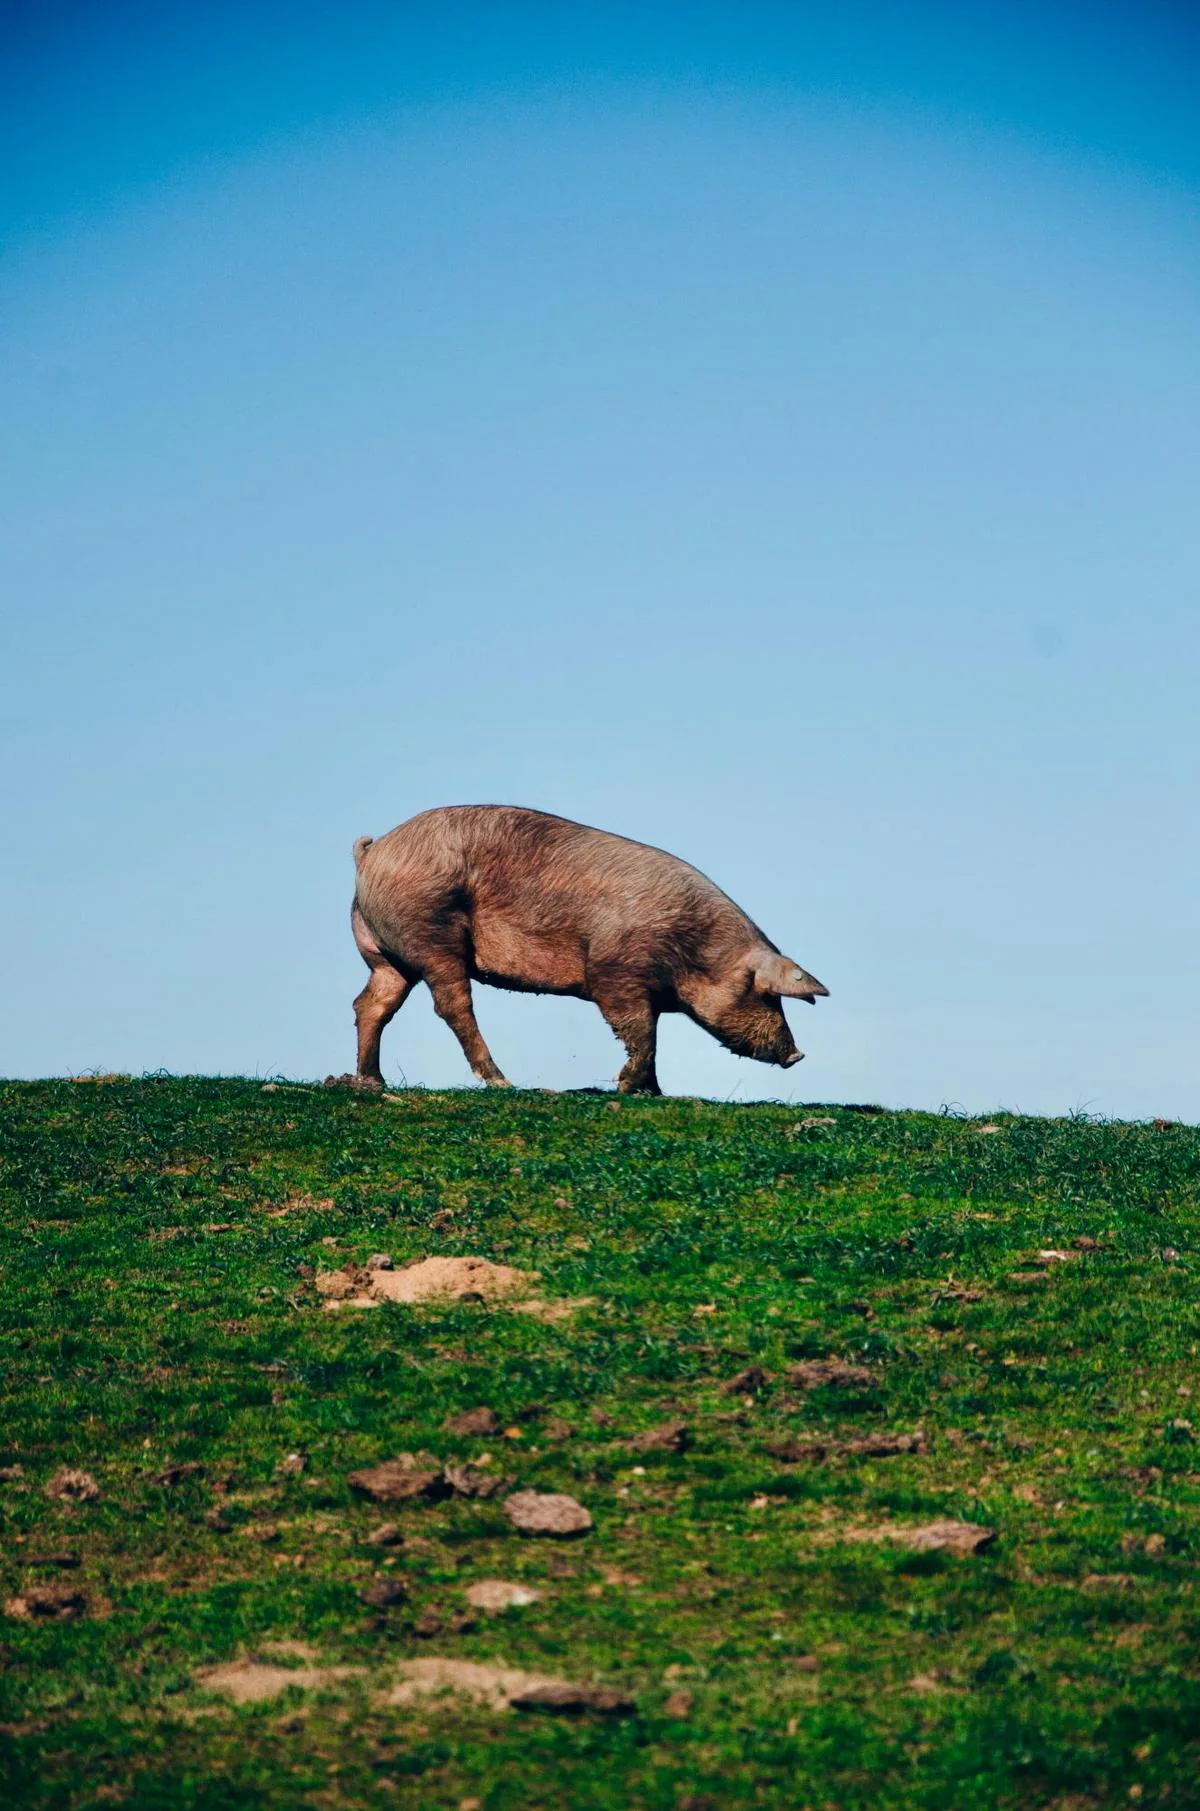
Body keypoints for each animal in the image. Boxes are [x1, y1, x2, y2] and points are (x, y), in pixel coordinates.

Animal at [338, 804, 825, 1086]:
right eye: (764, 994)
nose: (798, 1053)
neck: (692, 949)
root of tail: (372, 853)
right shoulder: (615, 971)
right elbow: (640, 1033)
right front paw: (629, 1087)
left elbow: (650, 1037)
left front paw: (654, 1092)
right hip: (431, 932)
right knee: (452, 1006)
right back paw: (502, 1082)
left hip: (386, 955)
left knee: (372, 1005)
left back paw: (371, 1082)